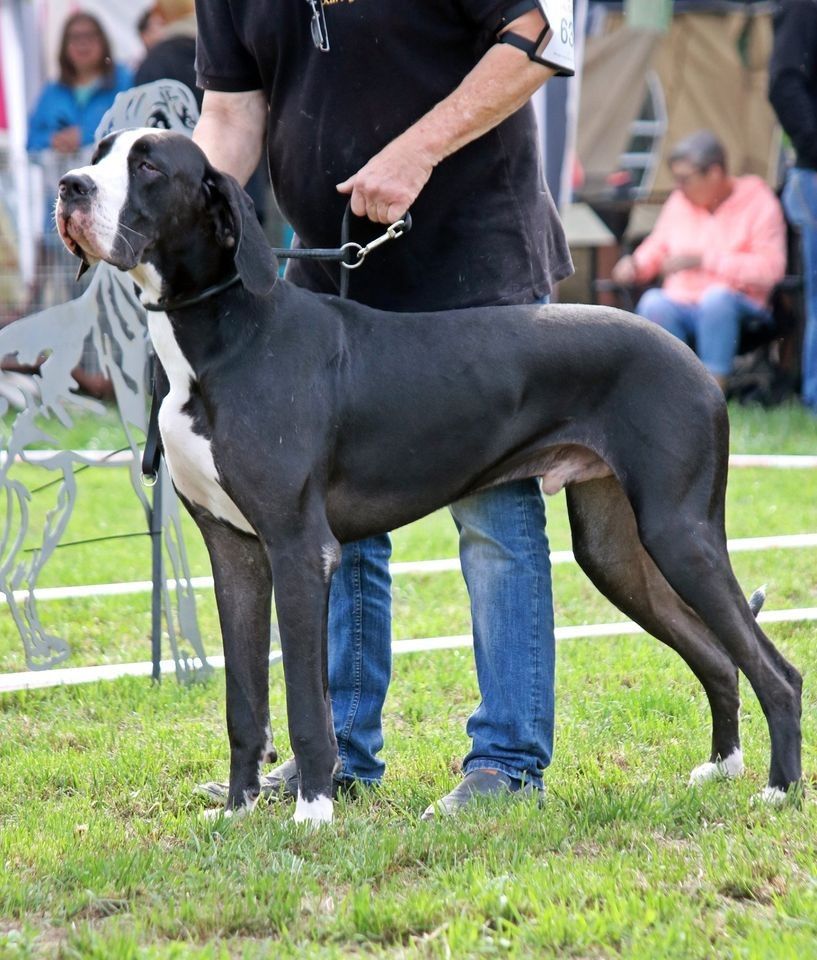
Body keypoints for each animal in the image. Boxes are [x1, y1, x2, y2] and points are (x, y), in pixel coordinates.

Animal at [55, 128, 802, 824]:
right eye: (99, 153)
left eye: (149, 166)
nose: (69, 187)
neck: (227, 333)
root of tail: (696, 363)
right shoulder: (234, 552)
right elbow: (245, 700)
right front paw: (238, 810)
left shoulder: (298, 549)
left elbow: (305, 704)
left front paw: (313, 813)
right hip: (614, 550)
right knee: (715, 654)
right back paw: (722, 766)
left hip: (680, 532)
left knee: (777, 670)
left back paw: (778, 789)